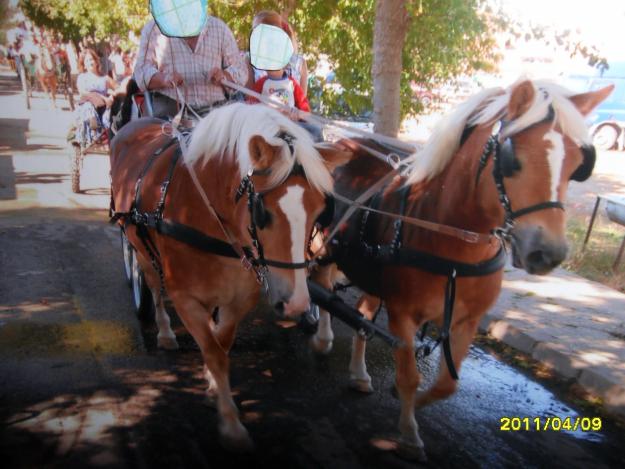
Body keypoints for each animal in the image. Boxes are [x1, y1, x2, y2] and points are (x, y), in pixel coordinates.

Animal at [112, 103, 346, 450]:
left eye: (320, 212)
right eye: (264, 212)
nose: (295, 303)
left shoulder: (241, 297)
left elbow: (220, 343)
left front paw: (213, 385)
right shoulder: (185, 298)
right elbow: (214, 352)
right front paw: (232, 424)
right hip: (139, 246)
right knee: (153, 286)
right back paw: (165, 332)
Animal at [310, 79, 612, 458]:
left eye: (578, 165)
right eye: (512, 159)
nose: (548, 253)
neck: (454, 243)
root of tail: (337, 145)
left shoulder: (465, 319)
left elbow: (446, 385)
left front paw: (408, 404)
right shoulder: (402, 314)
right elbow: (410, 376)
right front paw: (408, 433)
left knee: (362, 314)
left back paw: (359, 373)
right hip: (322, 249)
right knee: (321, 287)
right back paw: (322, 336)